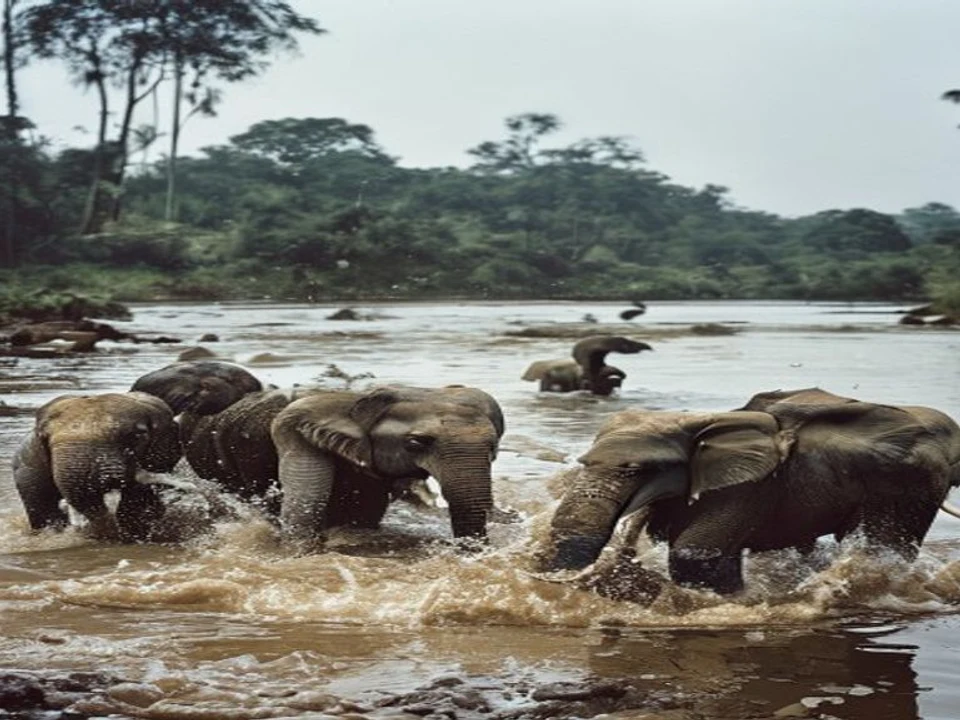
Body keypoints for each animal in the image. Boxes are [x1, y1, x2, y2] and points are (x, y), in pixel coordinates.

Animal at [540, 387, 960, 598]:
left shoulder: (749, 486)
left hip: (911, 485)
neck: (697, 423)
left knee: (882, 547)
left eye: (642, 470)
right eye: (584, 462)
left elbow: (696, 552)